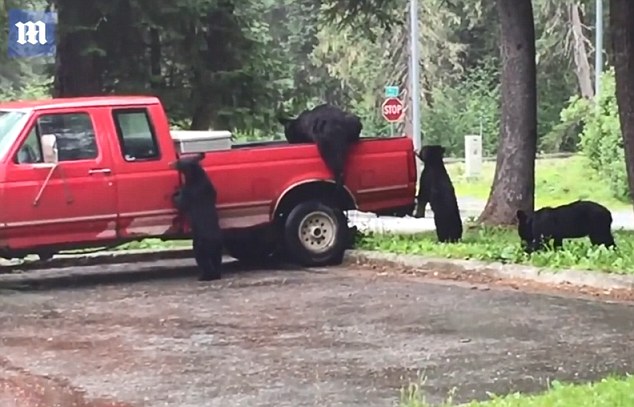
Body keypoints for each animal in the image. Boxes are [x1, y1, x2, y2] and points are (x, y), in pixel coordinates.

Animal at [170, 151, 222, 282]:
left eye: (179, 162)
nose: (170, 163)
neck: (196, 176)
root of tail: (212, 241)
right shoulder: (209, 187)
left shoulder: (190, 192)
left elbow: (181, 202)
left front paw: (175, 192)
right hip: (217, 247)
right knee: (216, 260)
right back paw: (216, 274)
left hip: (200, 245)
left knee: (203, 260)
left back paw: (204, 276)